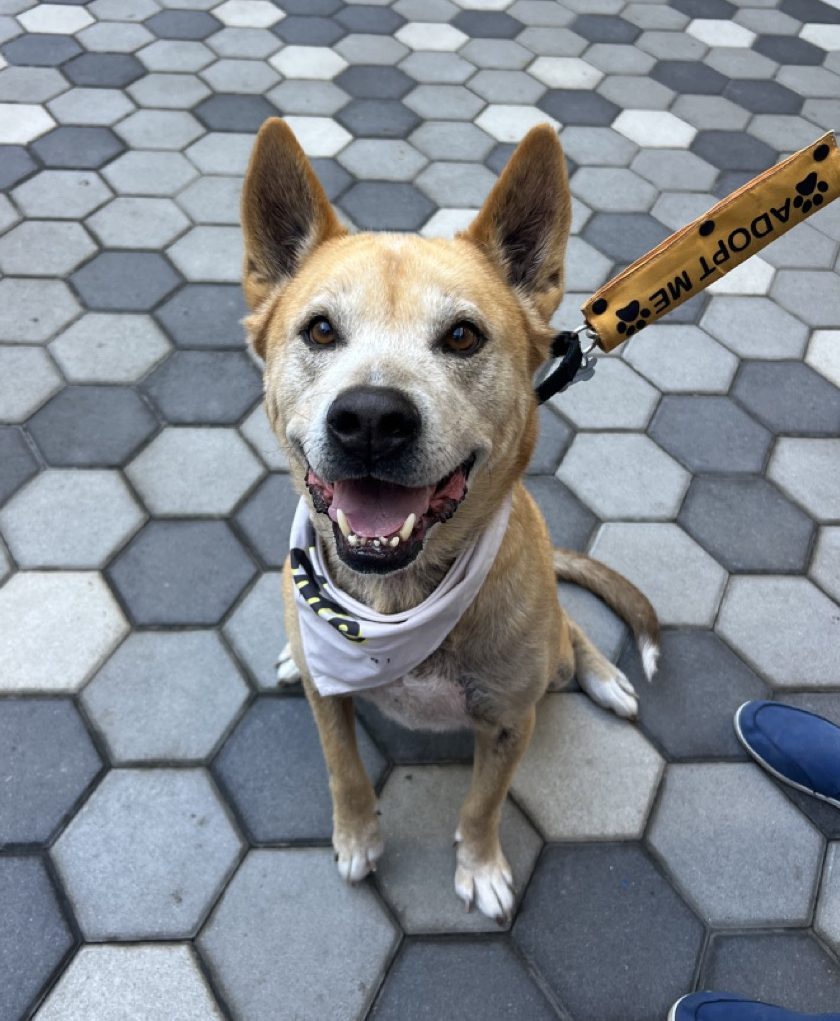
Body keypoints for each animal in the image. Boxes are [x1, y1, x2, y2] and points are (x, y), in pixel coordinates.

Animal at [239, 117, 661, 927]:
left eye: (463, 336)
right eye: (320, 330)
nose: (371, 419)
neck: (392, 605)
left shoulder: (508, 723)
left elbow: (482, 805)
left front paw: (482, 866)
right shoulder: (330, 698)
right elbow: (343, 769)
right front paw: (358, 837)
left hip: (551, 653)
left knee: (573, 633)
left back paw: (606, 678)